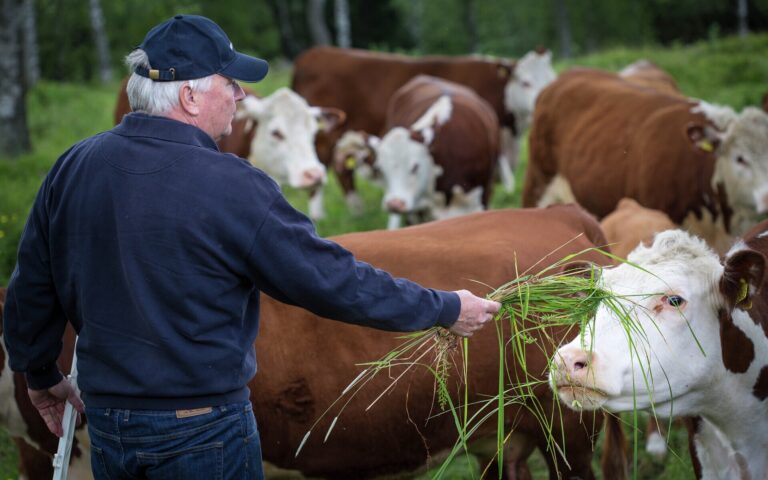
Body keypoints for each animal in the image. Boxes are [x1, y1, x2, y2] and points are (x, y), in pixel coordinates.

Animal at [294, 47, 560, 212]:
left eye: (551, 80)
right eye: (525, 82)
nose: (544, 101)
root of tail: (314, 53)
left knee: (342, 171)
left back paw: (356, 210)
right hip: (321, 137)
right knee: (318, 174)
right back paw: (322, 216)